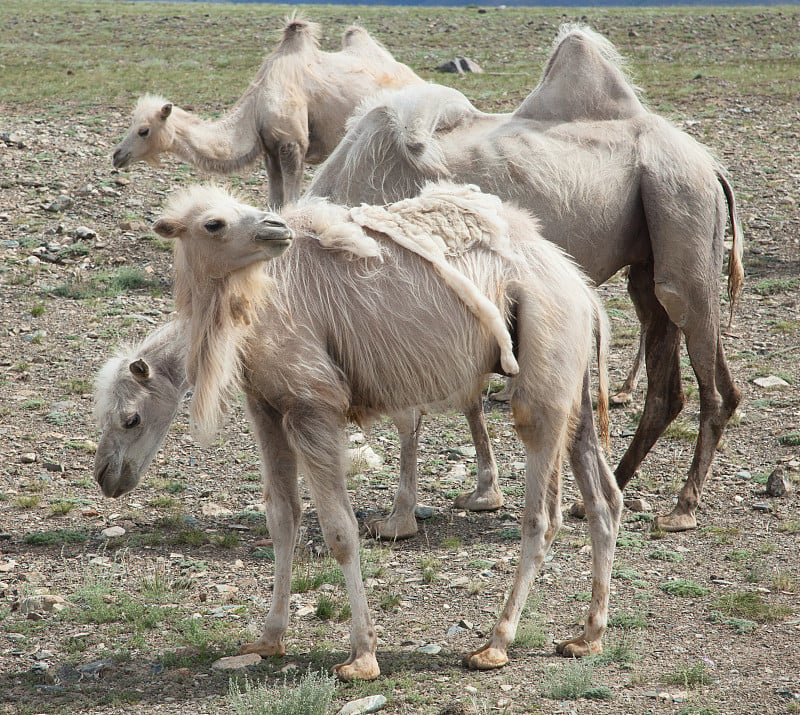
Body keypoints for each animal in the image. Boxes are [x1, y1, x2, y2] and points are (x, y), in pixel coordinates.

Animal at [92, 182, 620, 680]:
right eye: (215, 222)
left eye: (130, 418)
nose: (106, 476)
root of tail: (586, 295)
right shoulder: (266, 406)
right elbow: (282, 518)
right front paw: (267, 638)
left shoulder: (314, 404)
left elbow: (340, 531)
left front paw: (362, 656)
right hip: (573, 387)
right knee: (602, 499)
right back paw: (587, 636)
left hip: (543, 376)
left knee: (541, 516)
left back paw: (495, 645)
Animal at [113, 17, 424, 207]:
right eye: (131, 124)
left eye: (144, 130)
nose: (117, 155)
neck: (256, 108)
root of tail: (415, 77)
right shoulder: (270, 151)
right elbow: (274, 203)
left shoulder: (293, 145)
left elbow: (292, 201)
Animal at [310, 25, 748, 536]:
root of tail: (710, 165)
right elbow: (468, 398)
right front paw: (483, 494)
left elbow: (412, 414)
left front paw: (398, 519)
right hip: (653, 247)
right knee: (672, 380)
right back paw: (599, 496)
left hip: (681, 203)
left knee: (705, 368)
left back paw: (681, 508)